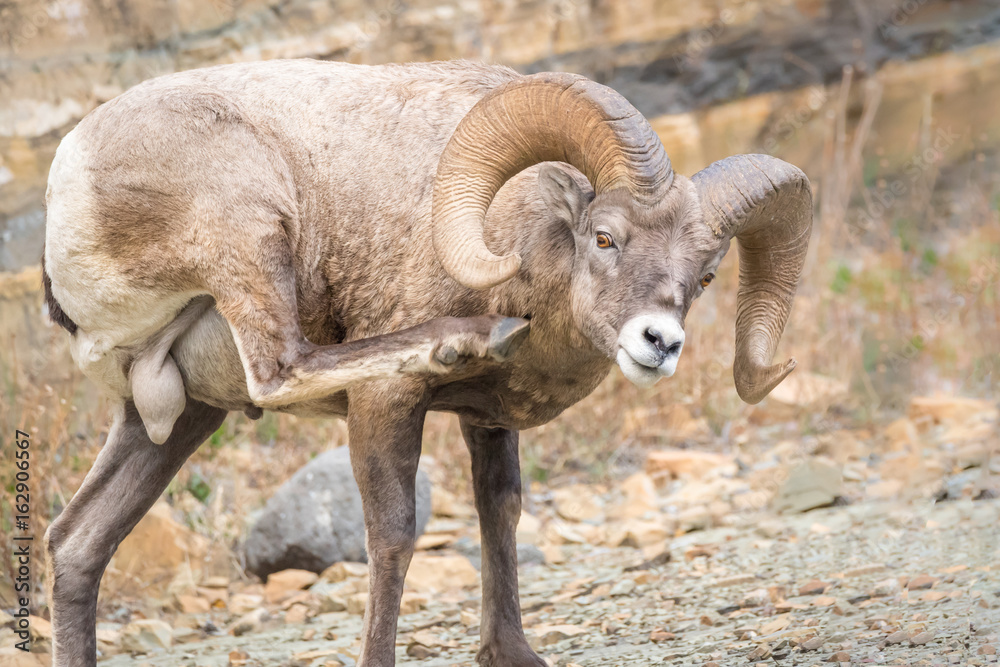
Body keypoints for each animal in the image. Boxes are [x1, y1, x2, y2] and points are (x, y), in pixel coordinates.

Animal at [42, 59, 812, 667]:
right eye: (605, 237)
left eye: (705, 276)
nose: (660, 342)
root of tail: (69, 170)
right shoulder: (387, 408)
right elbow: (392, 536)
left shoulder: (490, 423)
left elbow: (500, 512)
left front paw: (512, 652)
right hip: (250, 233)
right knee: (283, 365)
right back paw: (469, 334)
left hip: (176, 417)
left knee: (78, 543)